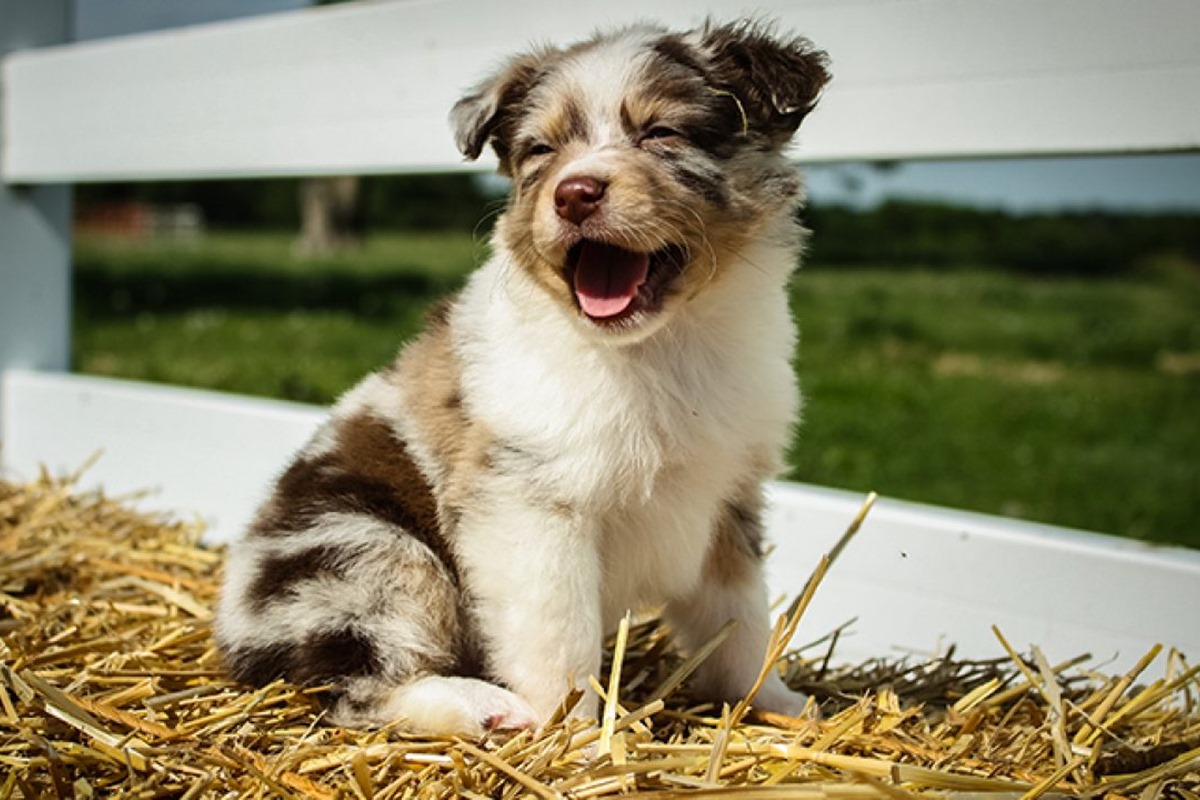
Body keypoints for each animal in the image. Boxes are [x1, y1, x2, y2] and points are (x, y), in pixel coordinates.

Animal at [216, 18, 830, 734]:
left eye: (661, 133)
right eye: (541, 149)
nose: (574, 193)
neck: (661, 346)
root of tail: (233, 631)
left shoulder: (729, 497)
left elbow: (741, 621)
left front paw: (777, 704)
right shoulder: (530, 504)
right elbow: (559, 638)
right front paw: (575, 736)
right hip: (368, 552)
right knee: (357, 688)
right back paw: (482, 707)